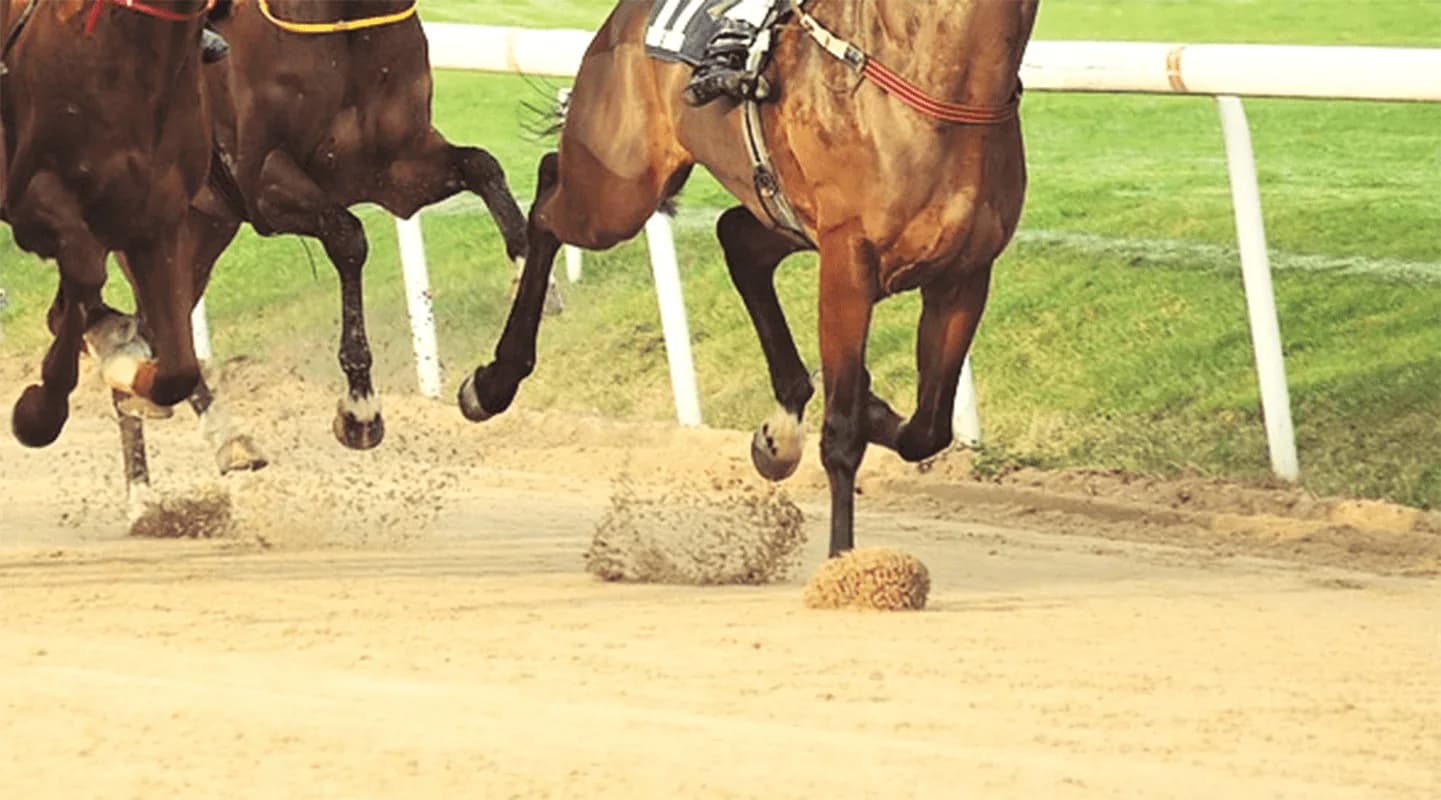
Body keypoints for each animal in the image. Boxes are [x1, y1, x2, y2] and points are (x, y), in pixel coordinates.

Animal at [101, 0, 533, 521]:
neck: (342, 21)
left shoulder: (396, 169)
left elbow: (481, 165)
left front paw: (523, 301)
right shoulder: (263, 181)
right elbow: (349, 236)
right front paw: (360, 409)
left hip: (203, 231)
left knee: (155, 333)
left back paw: (188, 460)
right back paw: (167, 475)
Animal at [458, 0, 1038, 557]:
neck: (940, 75)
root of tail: (618, 21)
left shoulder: (963, 277)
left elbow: (928, 429)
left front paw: (870, 407)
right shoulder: (847, 262)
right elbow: (843, 432)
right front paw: (842, 557)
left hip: (772, 213)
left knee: (735, 237)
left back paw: (783, 425)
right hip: (615, 194)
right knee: (548, 198)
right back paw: (493, 382)